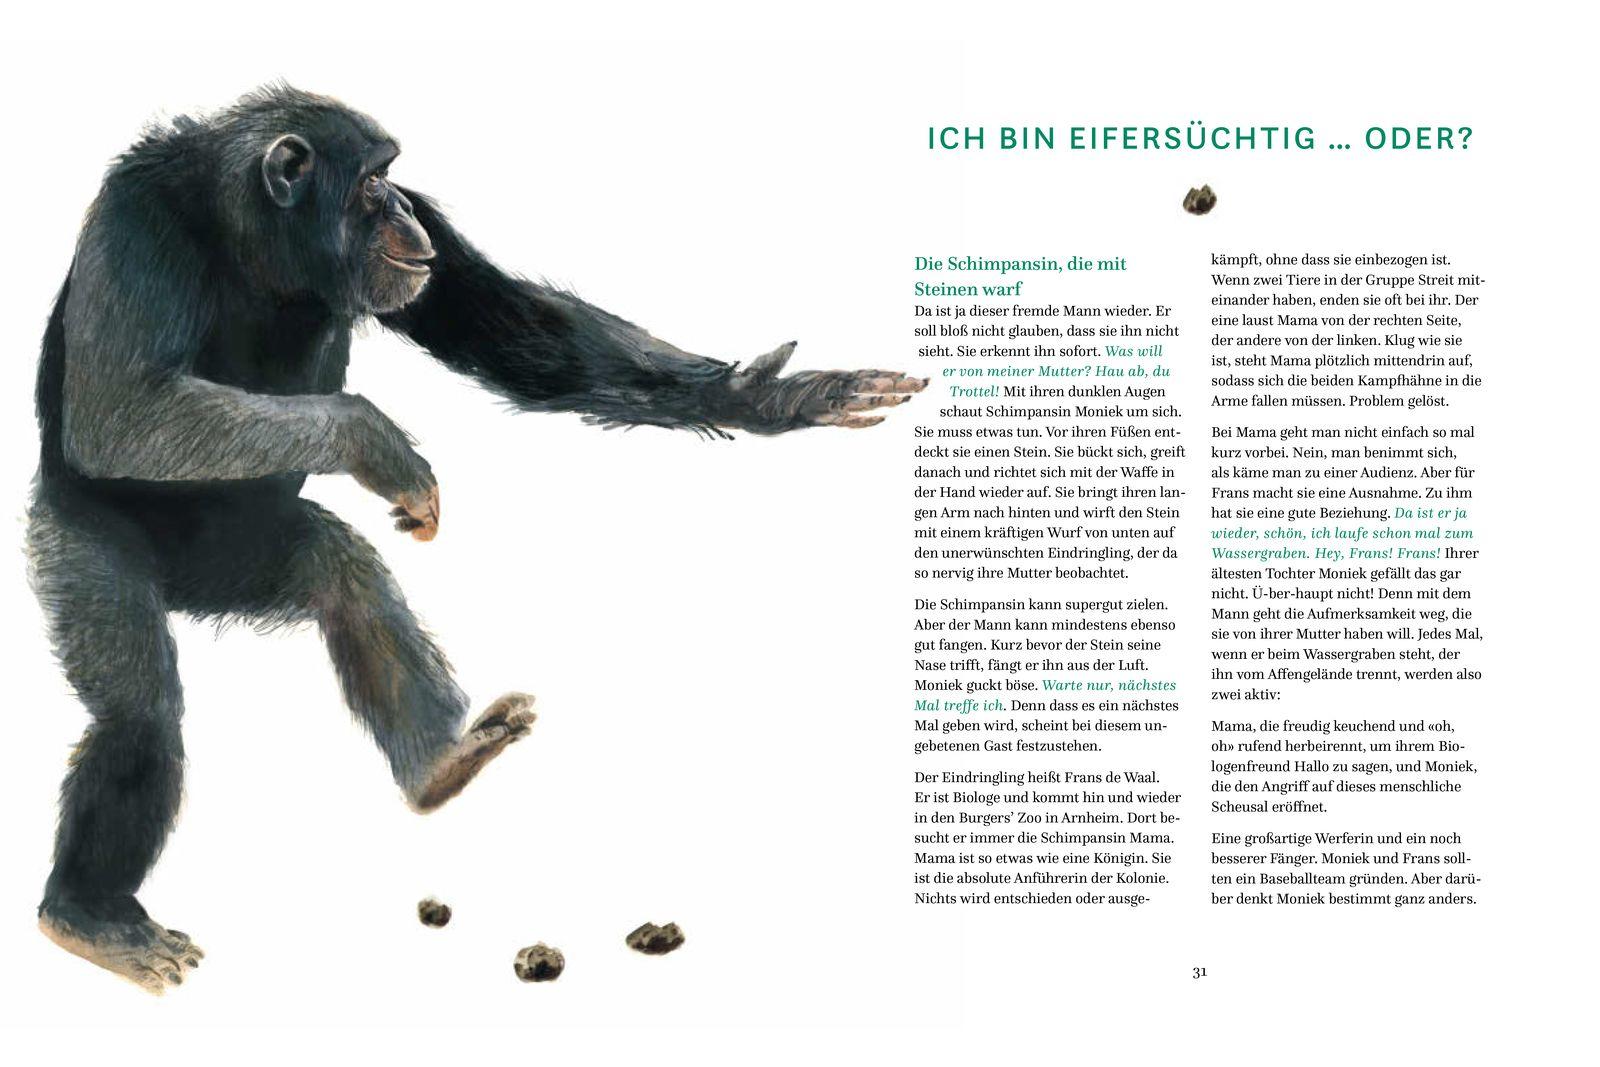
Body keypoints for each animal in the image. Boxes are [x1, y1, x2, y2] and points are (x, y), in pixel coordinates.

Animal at [29, 84, 924, 993]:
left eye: (393, 178)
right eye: (370, 184)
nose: (397, 207)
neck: (251, 233)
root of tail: (187, 589)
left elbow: (507, 328)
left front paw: (773, 396)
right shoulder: (135, 227)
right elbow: (122, 412)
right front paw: (375, 440)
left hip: (239, 557)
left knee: (343, 574)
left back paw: (441, 762)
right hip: (74, 544)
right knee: (139, 717)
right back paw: (92, 915)